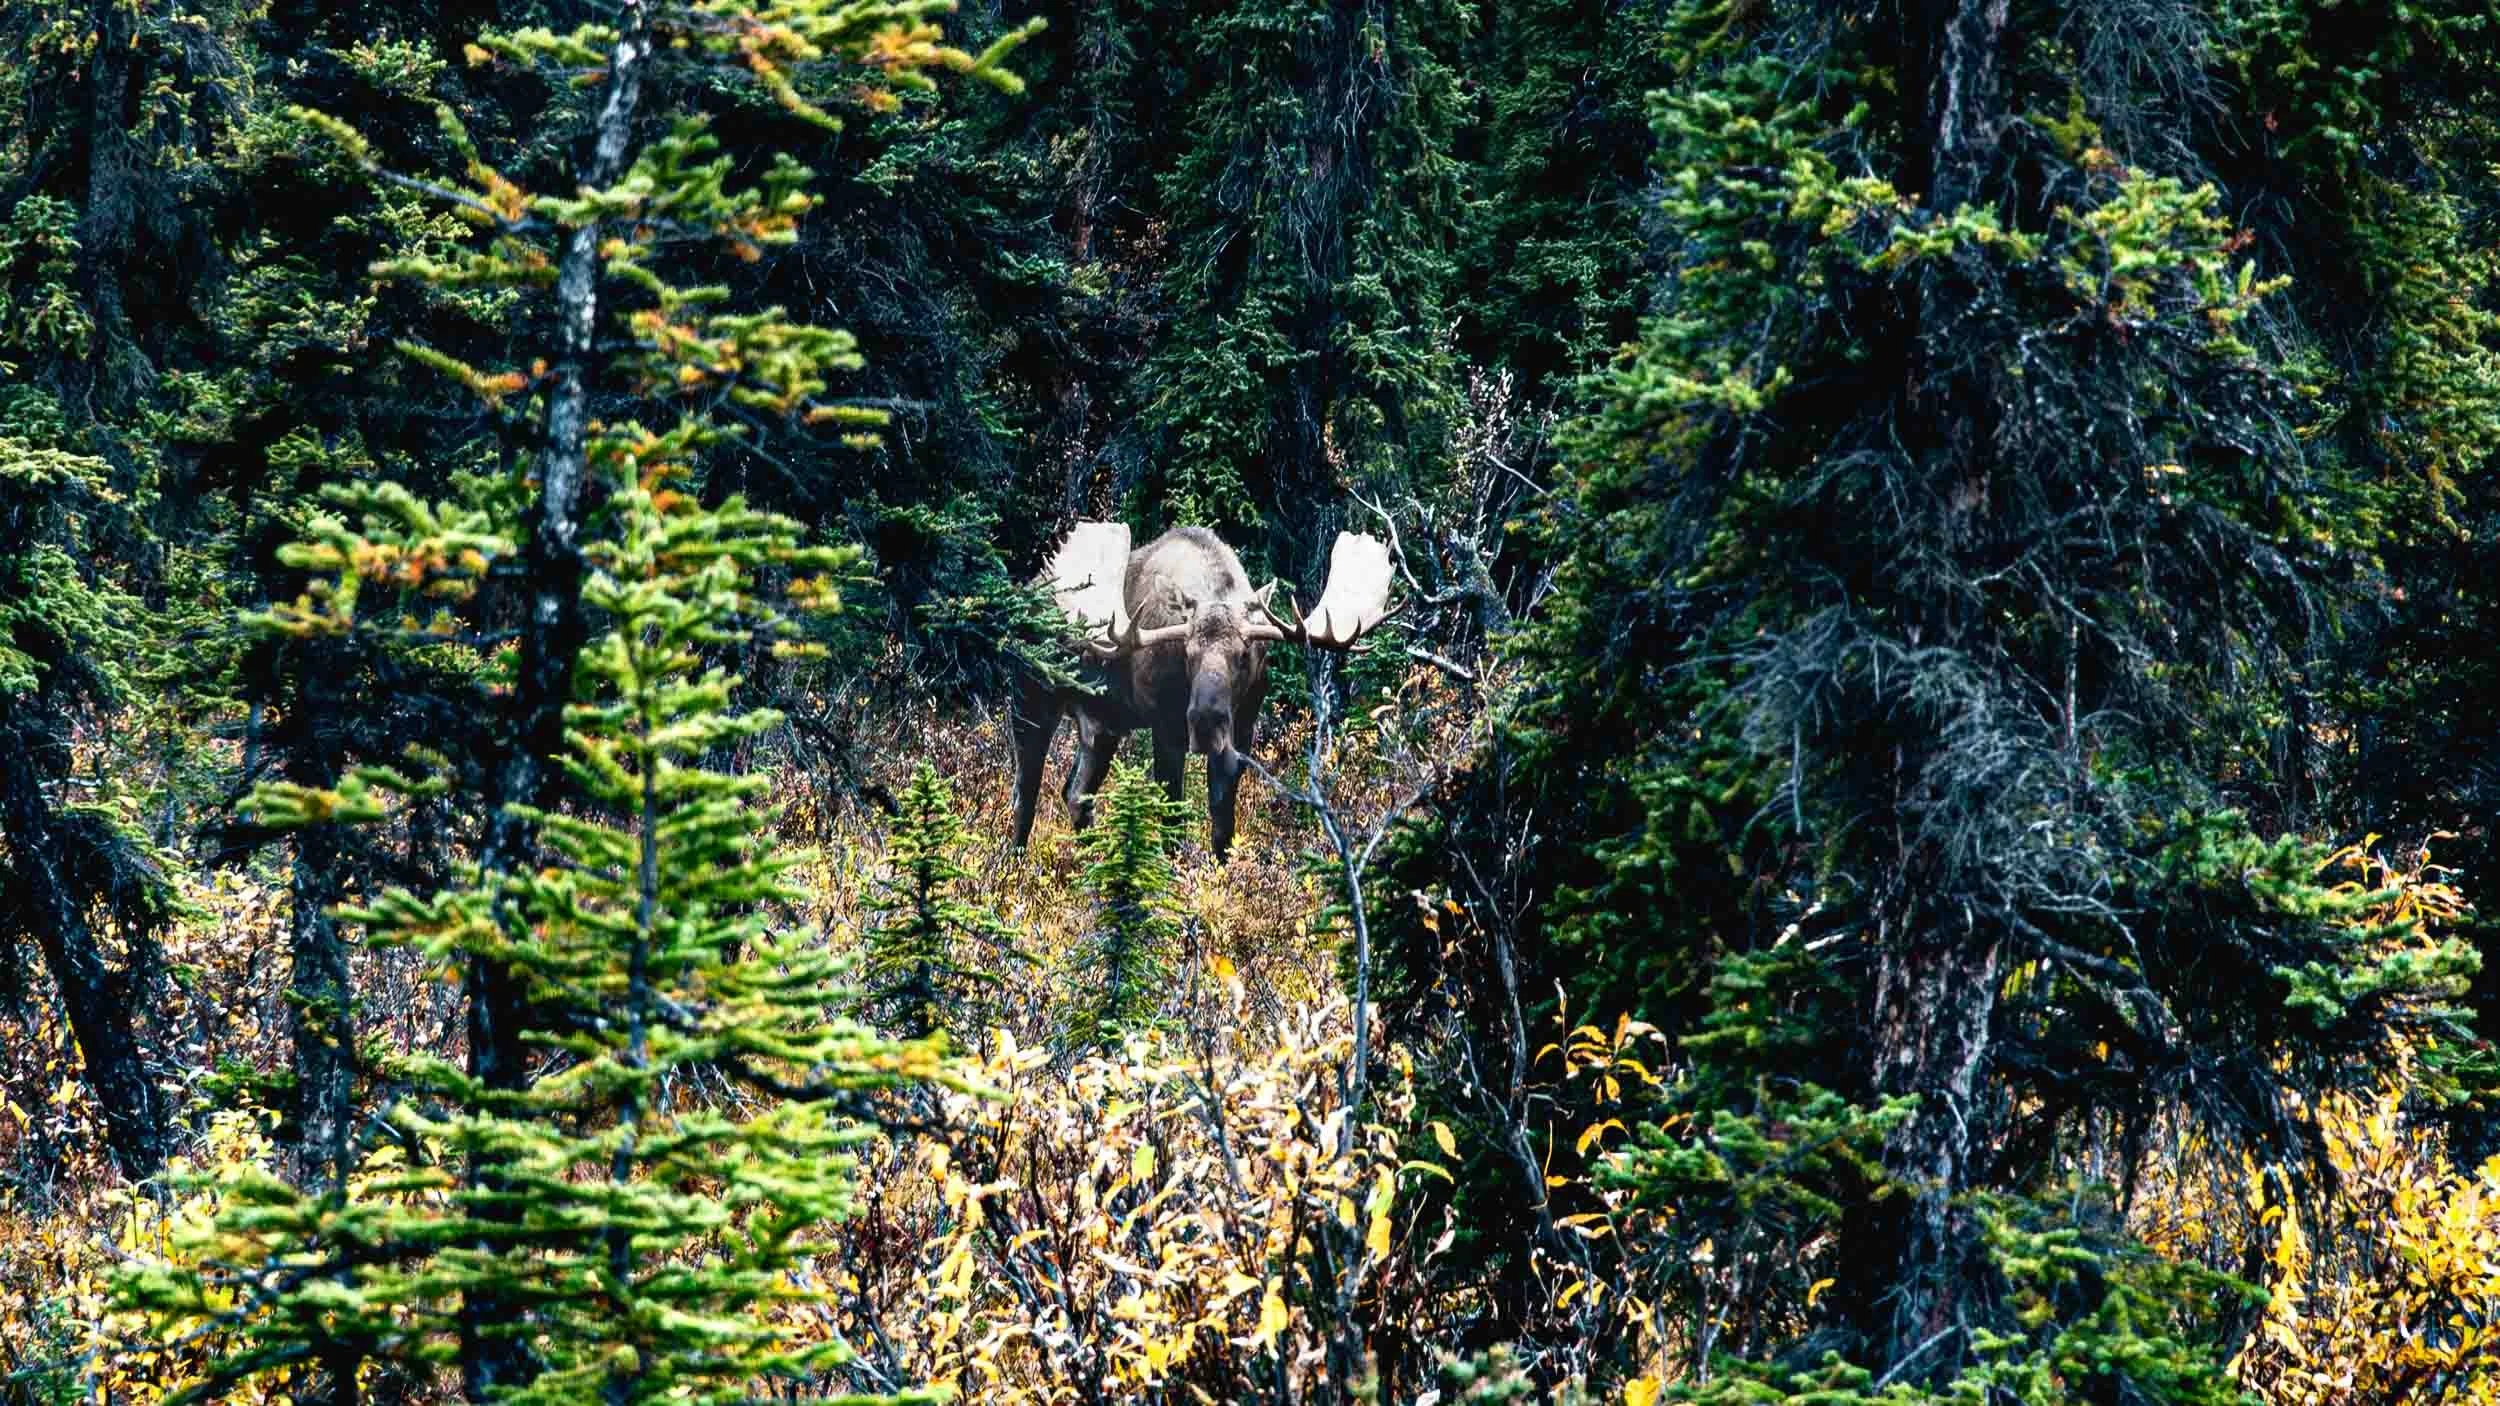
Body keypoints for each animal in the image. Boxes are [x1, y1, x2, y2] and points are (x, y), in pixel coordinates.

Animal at [1009, 522, 1394, 860]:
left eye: (1243, 654)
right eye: (1187, 652)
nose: (1206, 722)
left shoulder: (1242, 730)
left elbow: (1223, 823)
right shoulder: (1165, 727)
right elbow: (1173, 820)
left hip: (1102, 726)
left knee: (1075, 793)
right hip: (1031, 700)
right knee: (1025, 792)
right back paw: (1013, 870)